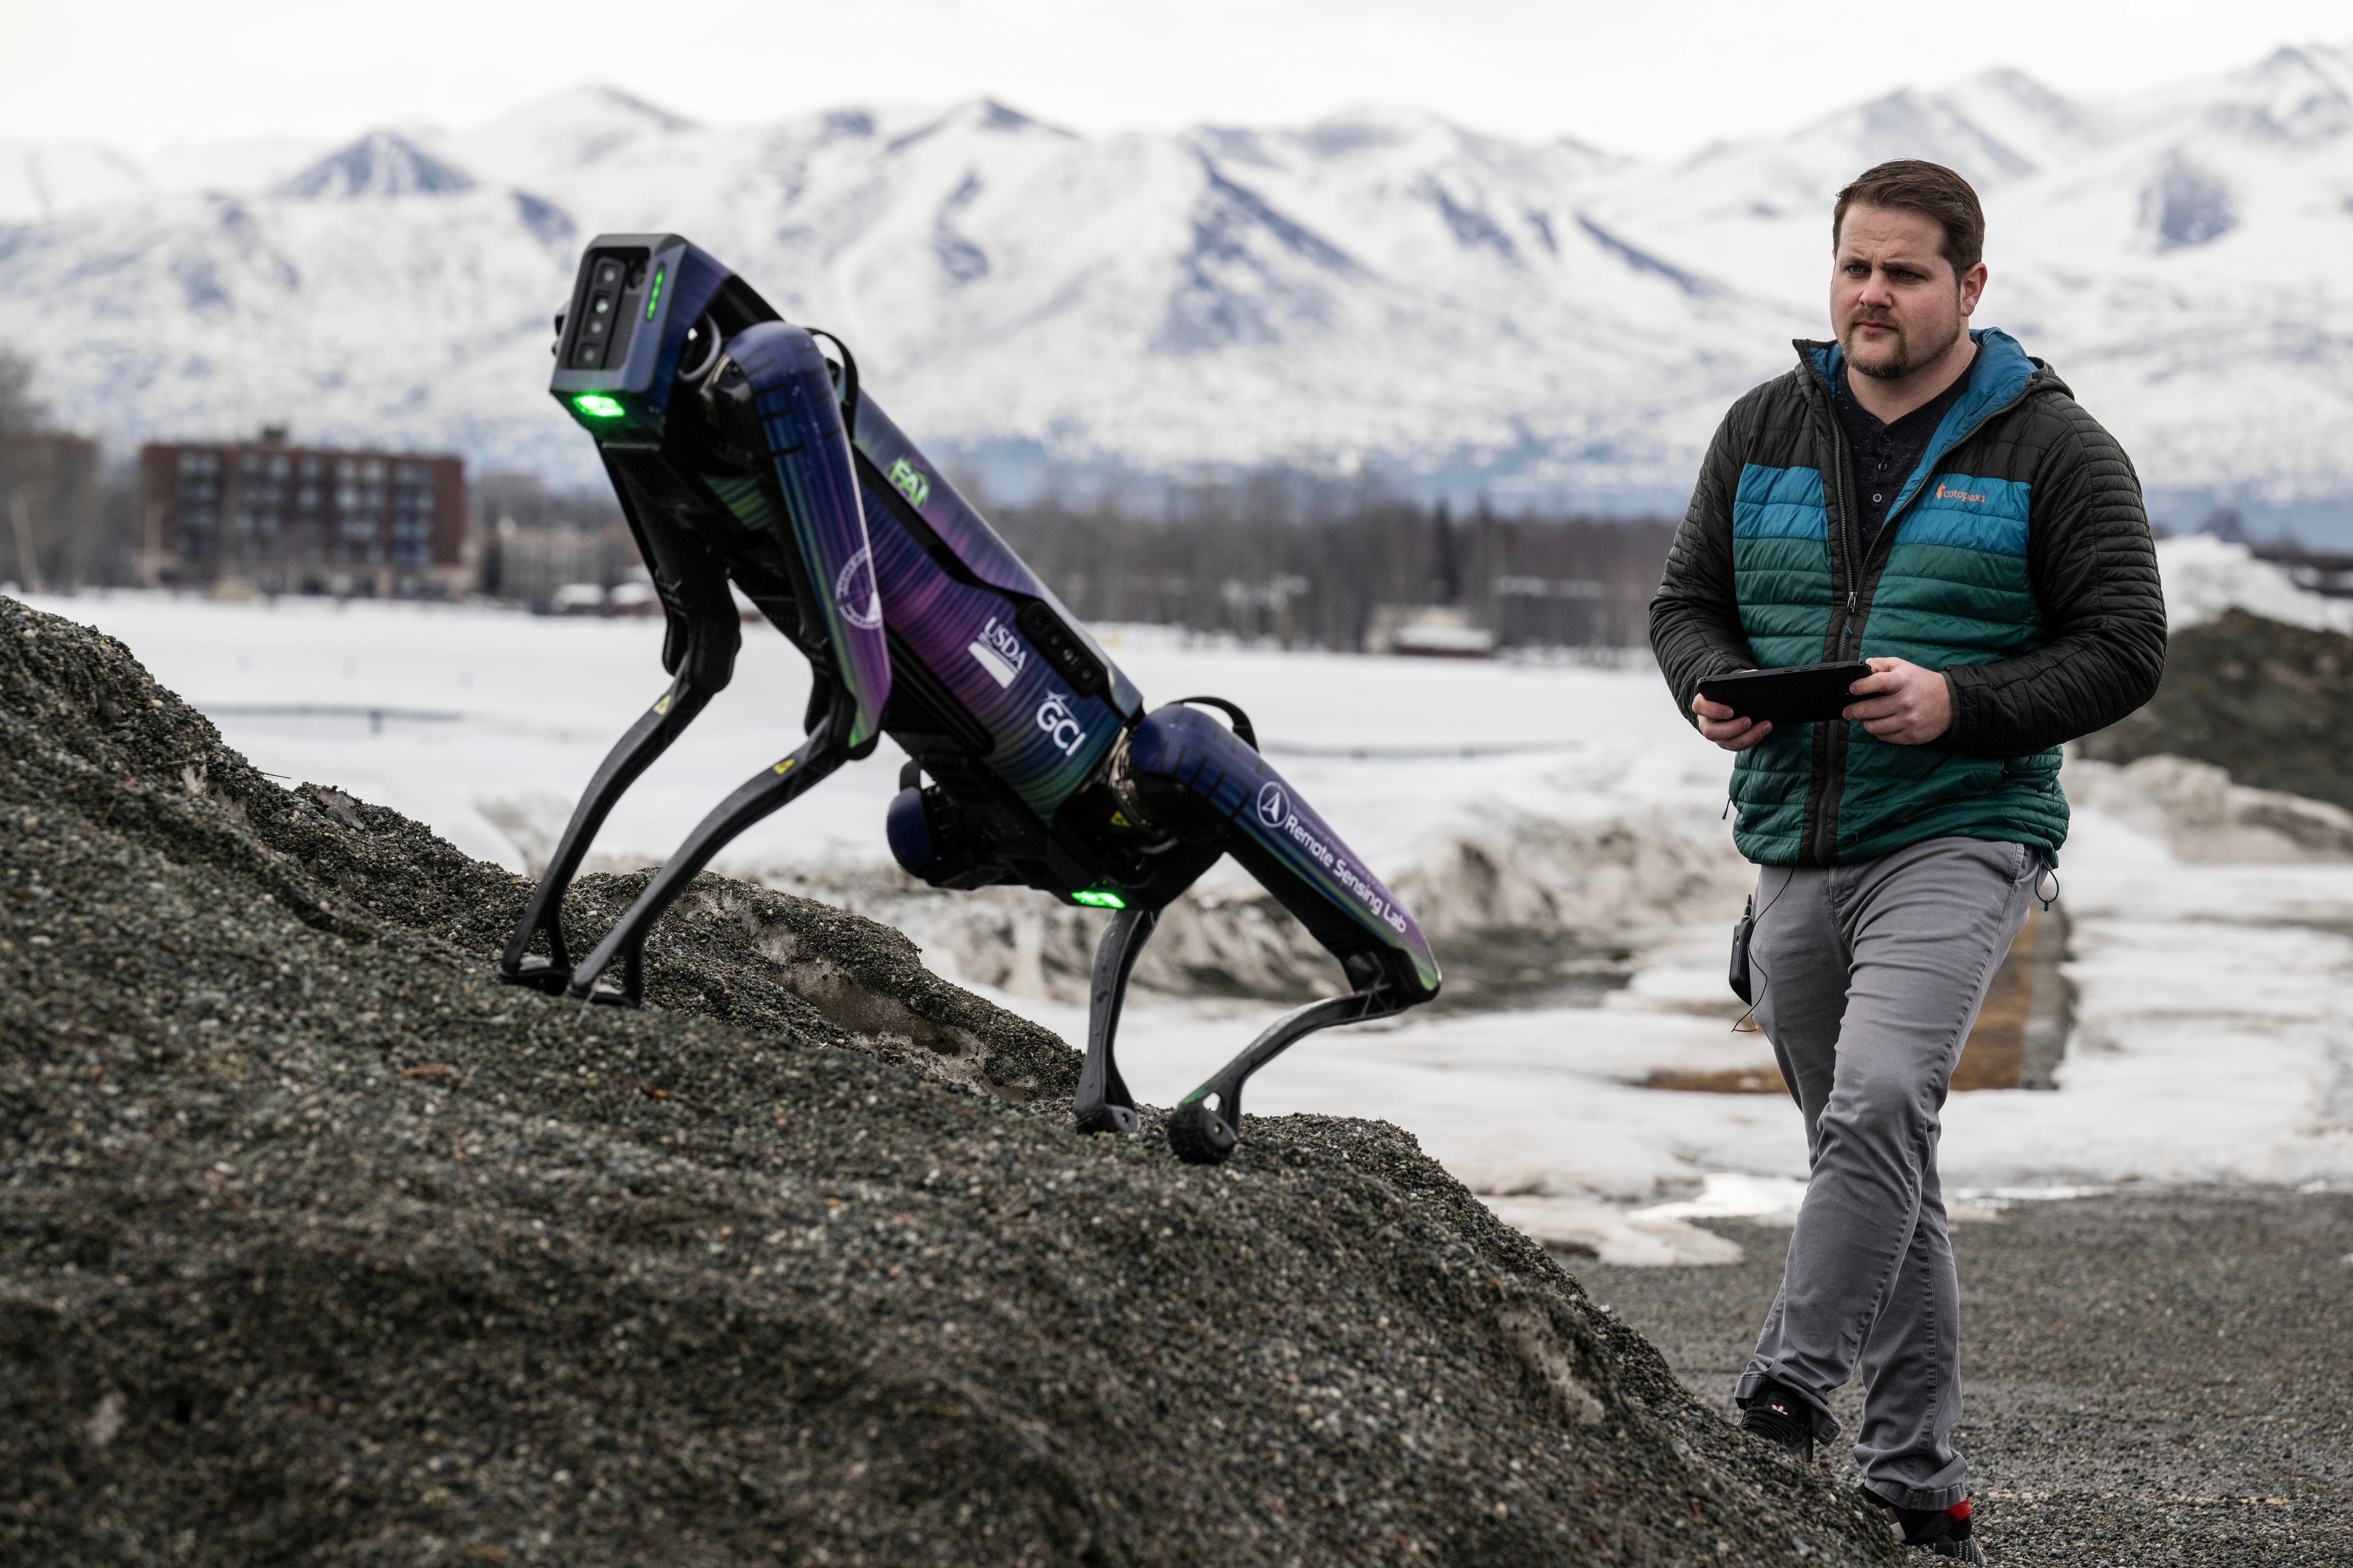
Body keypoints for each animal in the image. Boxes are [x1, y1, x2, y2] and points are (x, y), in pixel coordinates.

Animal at [496, 232, 1431, 1158]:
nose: (601, 345)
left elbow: (842, 718)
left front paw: (594, 972)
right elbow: (703, 681)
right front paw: (552, 964)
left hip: (1170, 763)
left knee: (1381, 949)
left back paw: (1192, 1104)